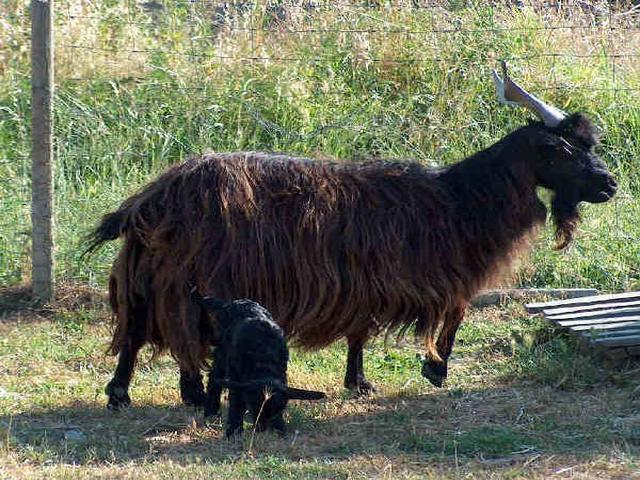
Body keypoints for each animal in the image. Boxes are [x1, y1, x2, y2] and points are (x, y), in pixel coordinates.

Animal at [86, 64, 617, 408]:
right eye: (564, 150)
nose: (609, 185)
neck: (454, 199)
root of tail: (149, 200)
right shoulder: (412, 273)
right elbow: (456, 309)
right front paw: (434, 370)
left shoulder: (366, 280)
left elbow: (361, 332)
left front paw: (360, 382)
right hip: (181, 278)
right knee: (168, 330)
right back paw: (169, 394)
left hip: (148, 275)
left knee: (140, 329)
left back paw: (141, 392)